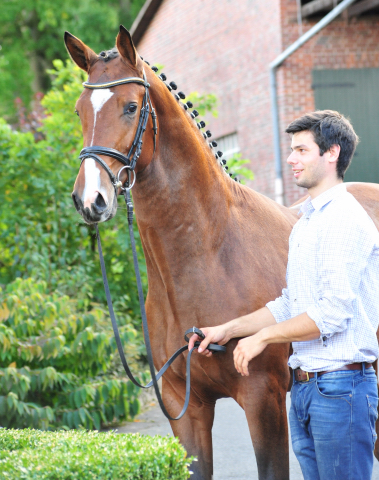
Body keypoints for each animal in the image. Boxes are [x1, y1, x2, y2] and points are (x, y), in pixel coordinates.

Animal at [63, 27, 378, 480]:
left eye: (130, 106)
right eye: (78, 111)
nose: (91, 200)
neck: (209, 256)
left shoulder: (263, 399)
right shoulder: (184, 406)